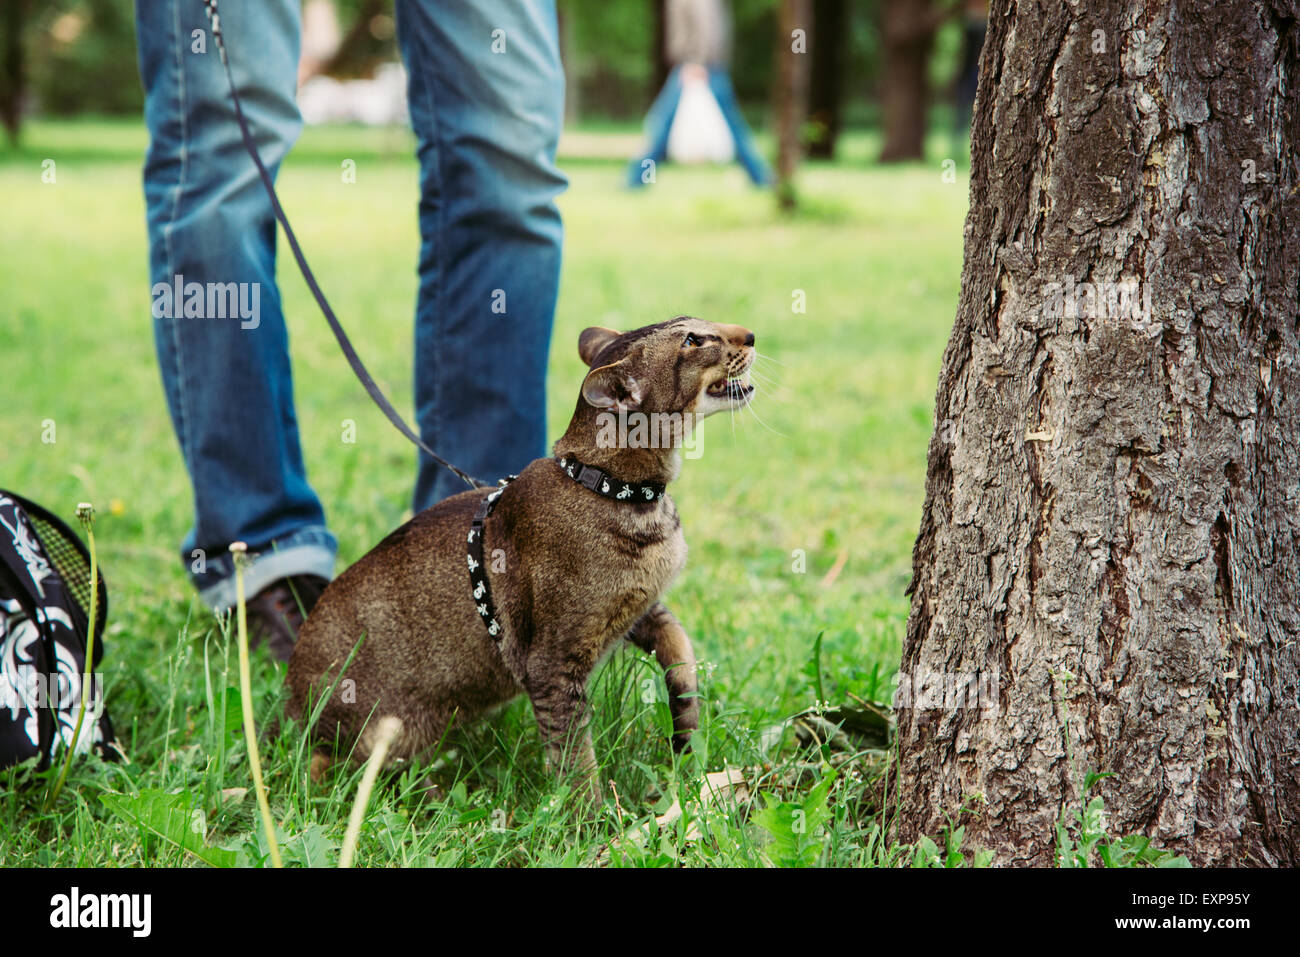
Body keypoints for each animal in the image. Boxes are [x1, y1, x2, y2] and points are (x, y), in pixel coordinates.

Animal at [284, 317, 754, 806]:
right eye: (693, 341)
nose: (750, 335)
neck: (616, 489)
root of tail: (290, 700)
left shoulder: (643, 610)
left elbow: (682, 656)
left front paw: (687, 734)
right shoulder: (551, 662)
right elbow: (574, 756)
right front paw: (598, 820)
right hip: (373, 735)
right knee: (334, 769)